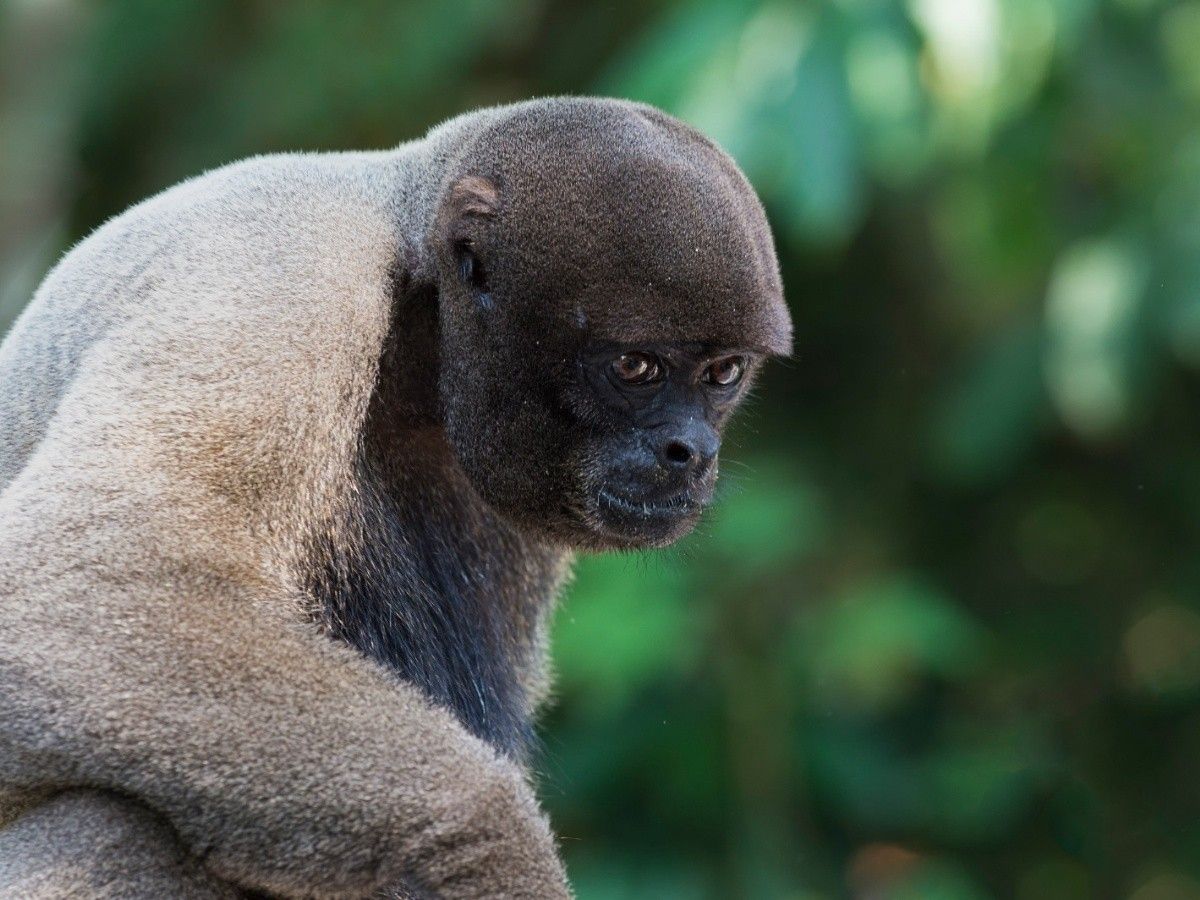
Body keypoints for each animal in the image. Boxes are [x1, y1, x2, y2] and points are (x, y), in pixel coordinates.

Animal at [0, 95, 796, 897]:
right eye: (636, 367)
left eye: (724, 374)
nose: (691, 453)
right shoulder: (286, 283)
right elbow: (69, 586)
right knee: (115, 820)